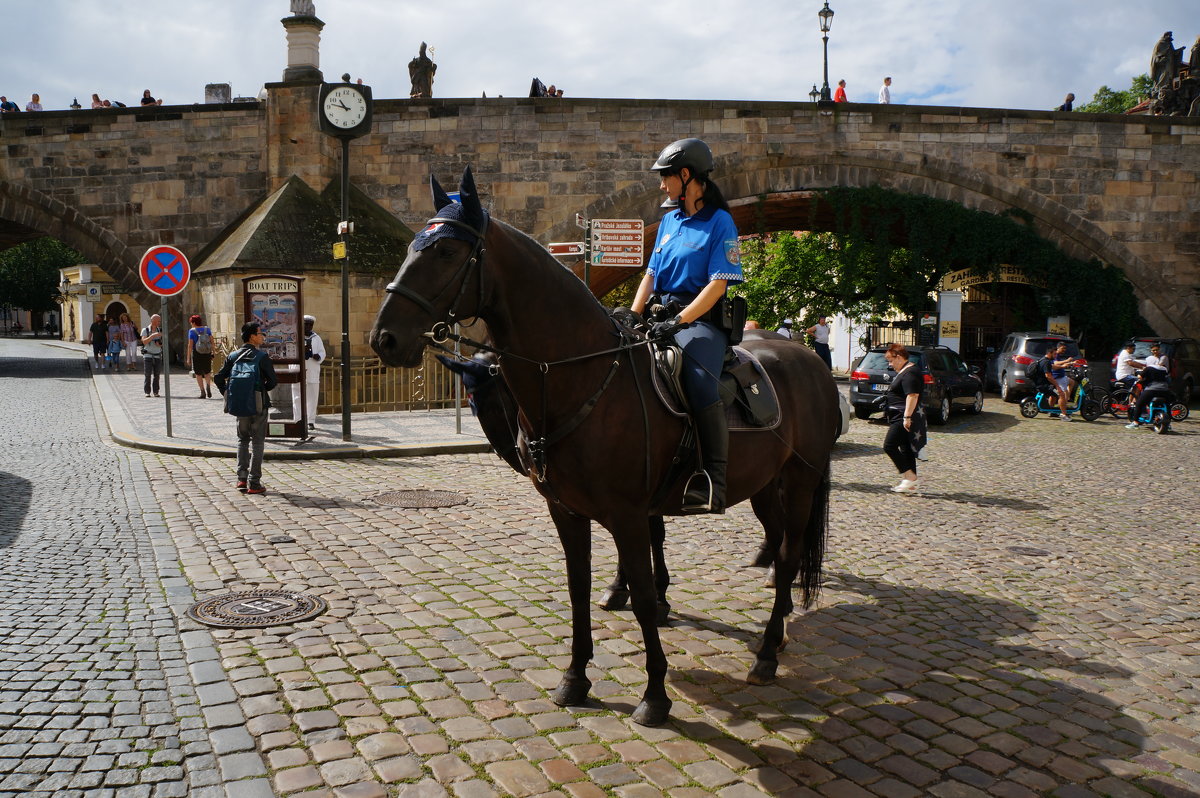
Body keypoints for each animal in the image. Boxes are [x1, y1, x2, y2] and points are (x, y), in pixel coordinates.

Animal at [369, 169, 840, 729]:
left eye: (444, 250)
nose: (384, 338)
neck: (583, 378)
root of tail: (808, 358)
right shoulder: (568, 511)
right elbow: (578, 588)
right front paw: (575, 677)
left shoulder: (631, 514)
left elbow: (643, 596)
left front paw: (655, 694)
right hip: (767, 483)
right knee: (781, 542)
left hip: (803, 480)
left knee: (790, 556)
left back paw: (767, 651)